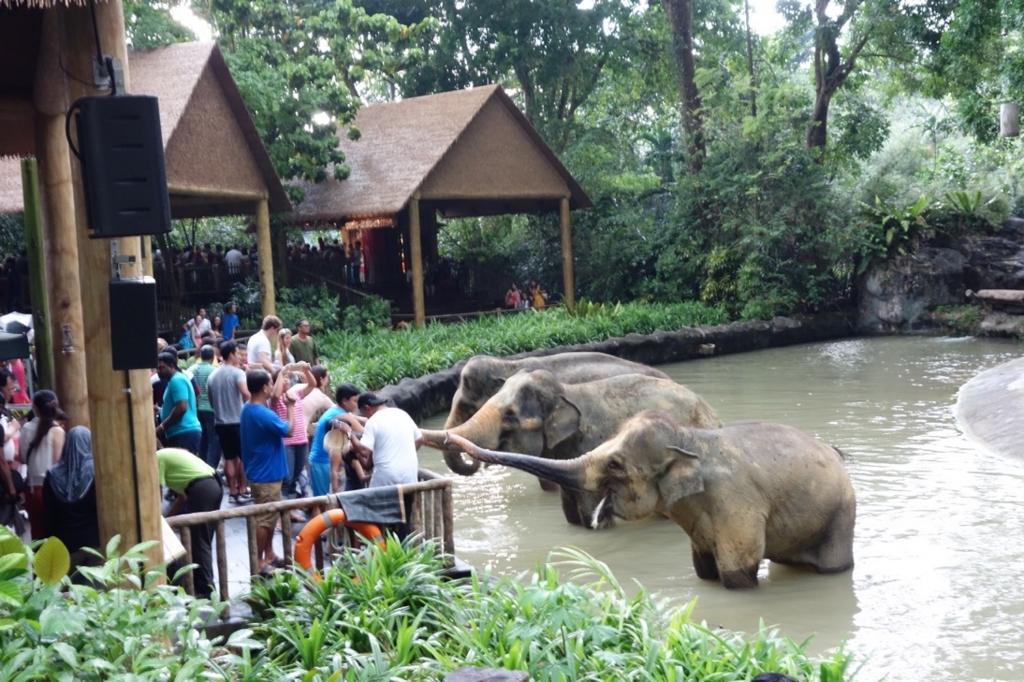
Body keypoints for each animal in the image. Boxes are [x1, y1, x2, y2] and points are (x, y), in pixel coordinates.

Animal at [444, 409, 851, 589]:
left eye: (614, 463)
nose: (450, 438)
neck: (690, 439)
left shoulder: (738, 506)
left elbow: (737, 573)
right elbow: (704, 571)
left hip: (841, 514)